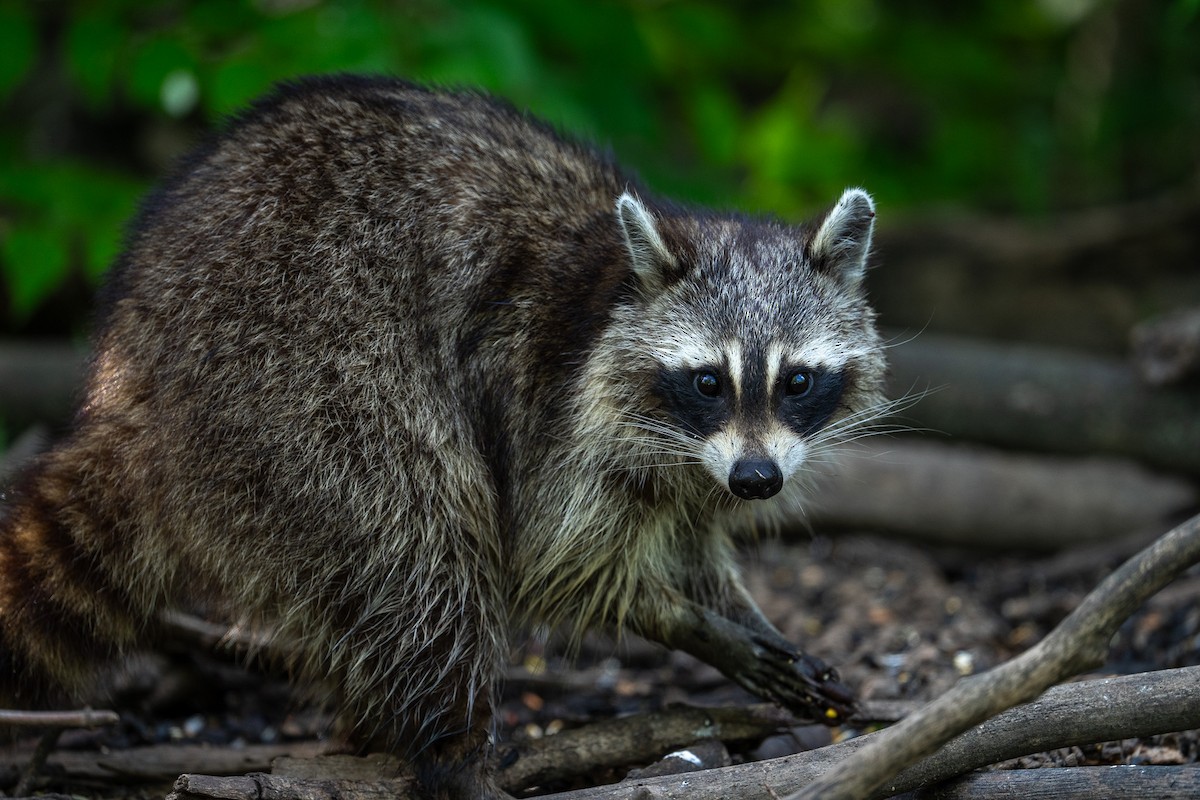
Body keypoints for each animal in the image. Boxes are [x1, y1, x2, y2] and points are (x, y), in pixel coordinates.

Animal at [0, 76, 885, 798]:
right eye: (708, 381)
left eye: (796, 381)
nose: (758, 482)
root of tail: (132, 383)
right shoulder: (550, 405)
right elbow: (554, 563)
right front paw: (691, 625)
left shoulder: (699, 464)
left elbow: (692, 540)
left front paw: (742, 612)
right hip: (298, 379)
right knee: (420, 543)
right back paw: (454, 753)